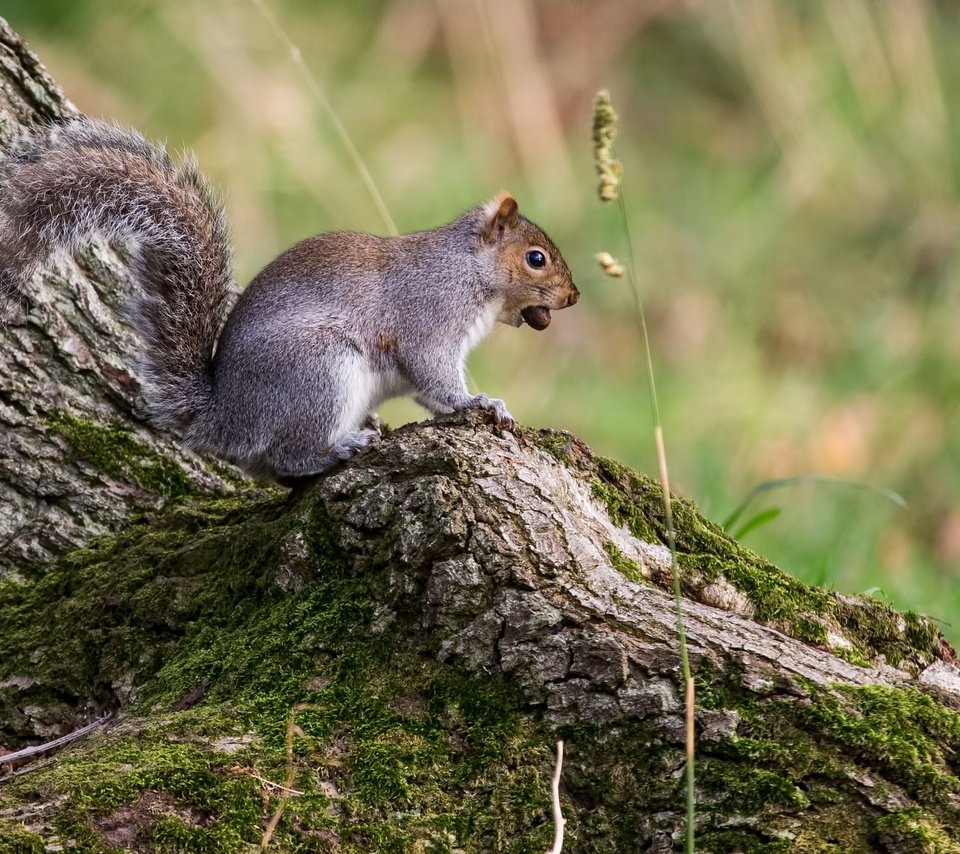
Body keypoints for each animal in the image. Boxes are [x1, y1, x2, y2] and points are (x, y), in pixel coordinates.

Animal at [0, 117, 576, 484]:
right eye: (536, 259)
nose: (573, 297)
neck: (469, 271)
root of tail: (224, 418)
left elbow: (427, 393)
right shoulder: (428, 318)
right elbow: (434, 375)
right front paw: (477, 403)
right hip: (318, 372)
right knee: (287, 455)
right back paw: (338, 449)